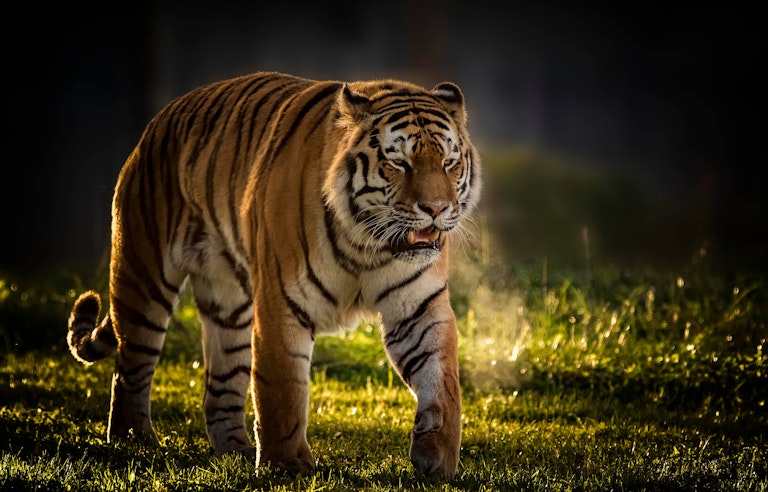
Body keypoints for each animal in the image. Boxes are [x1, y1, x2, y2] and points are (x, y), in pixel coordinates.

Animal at [69, 69, 484, 476]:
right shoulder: (282, 304)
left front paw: (438, 458)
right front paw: (286, 465)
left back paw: (235, 452)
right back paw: (134, 439)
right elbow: (282, 388)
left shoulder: (419, 307)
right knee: (130, 367)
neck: (368, 245)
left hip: (229, 308)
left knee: (219, 389)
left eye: (449, 163)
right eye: (398, 163)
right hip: (144, 276)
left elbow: (442, 381)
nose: (436, 208)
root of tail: (158, 121)